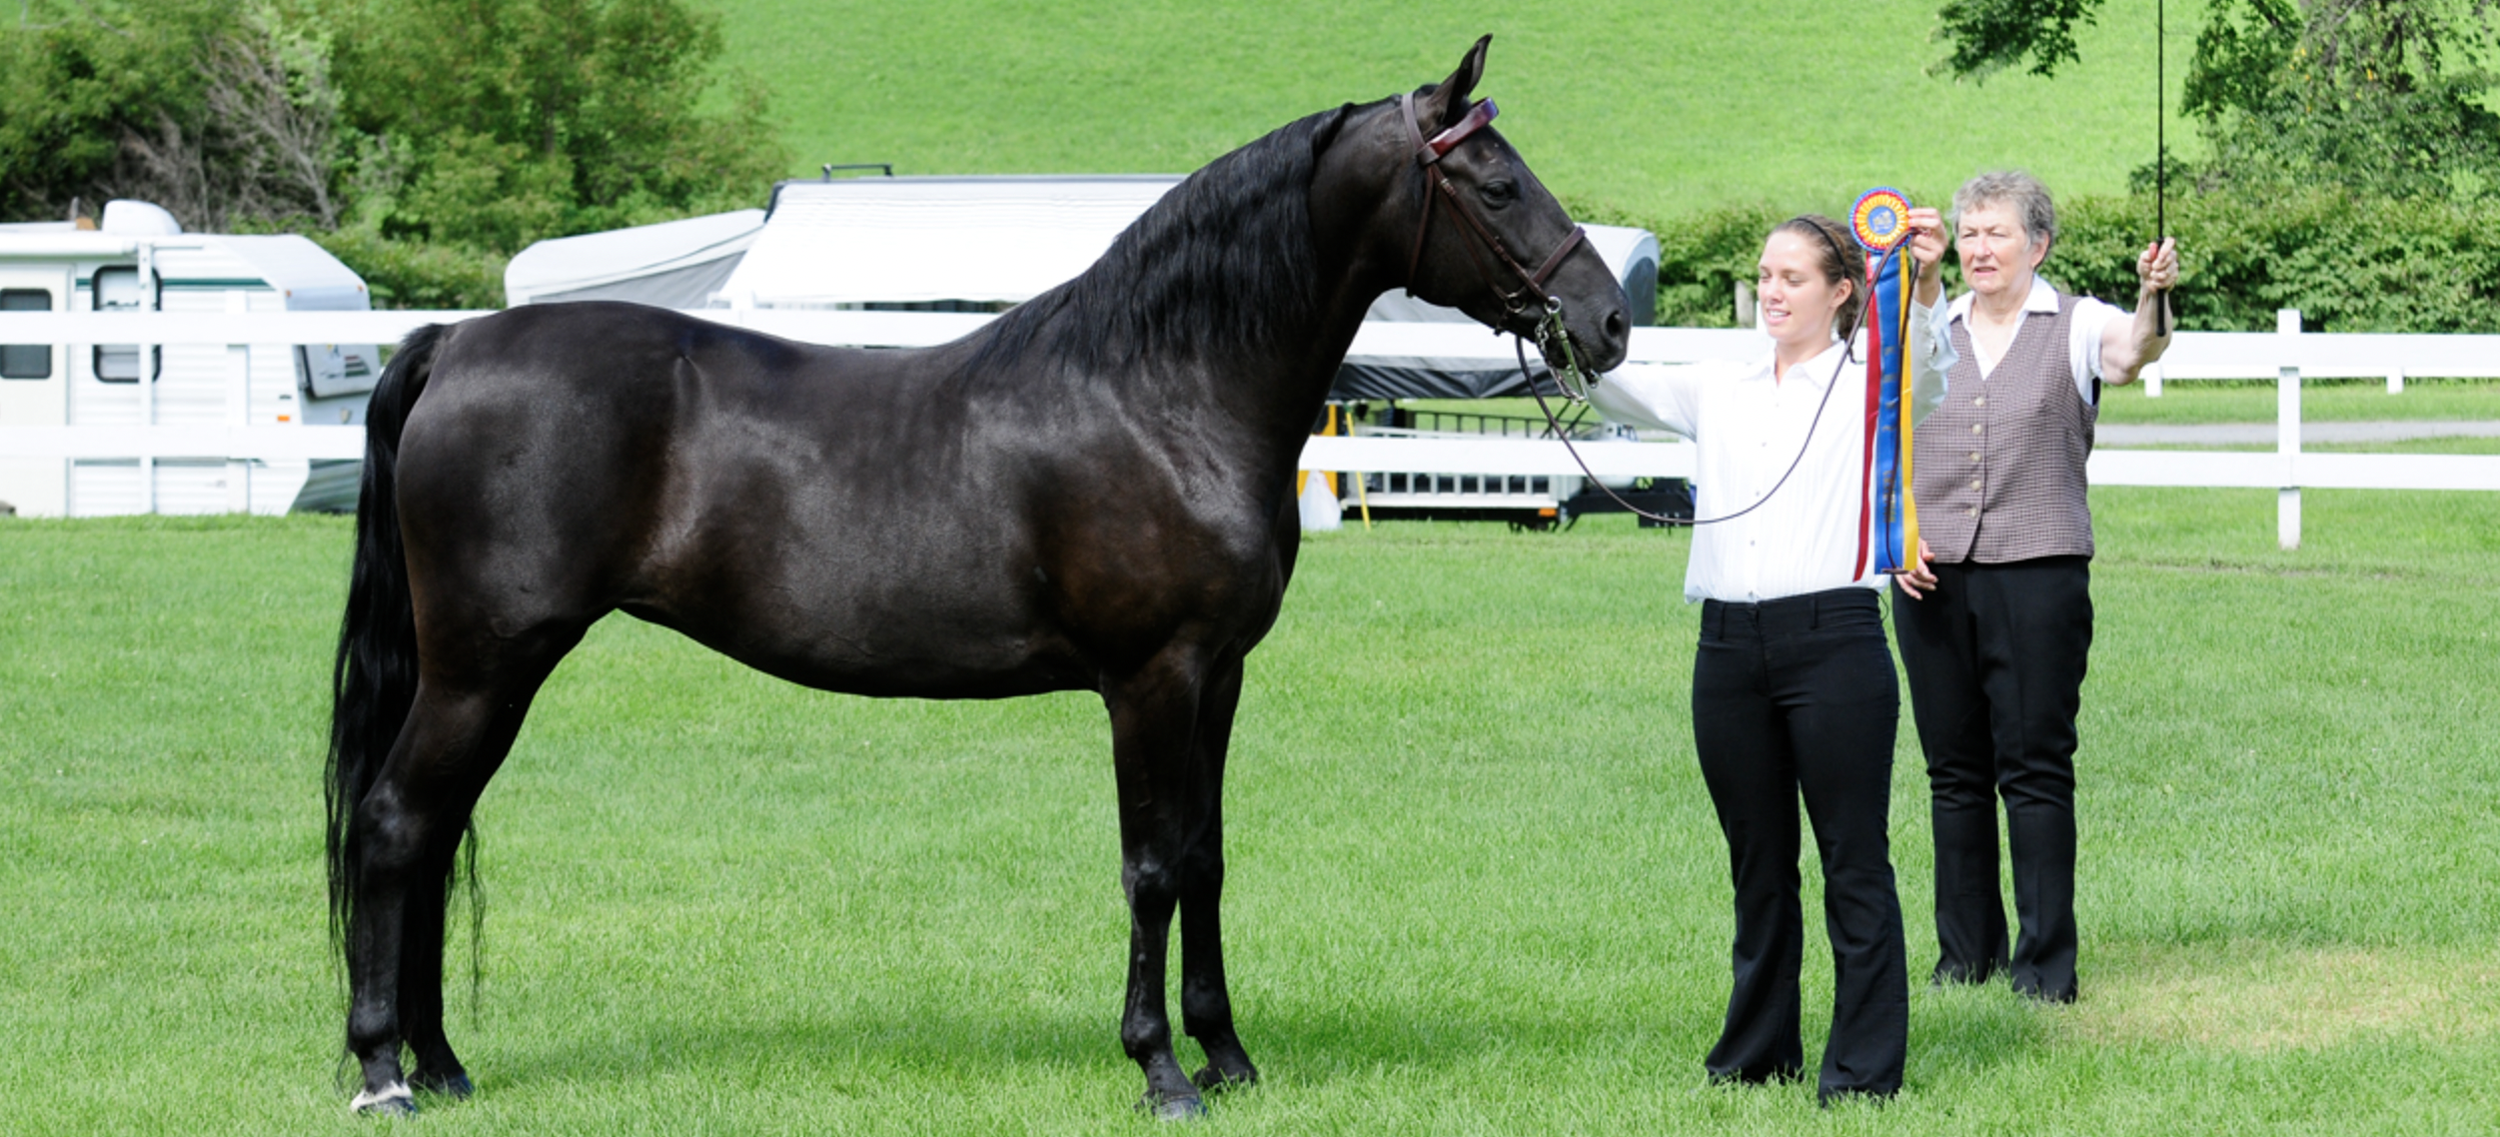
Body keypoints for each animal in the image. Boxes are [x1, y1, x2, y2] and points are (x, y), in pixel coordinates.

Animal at [326, 36, 1629, 1119]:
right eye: (1496, 186)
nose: (1606, 320)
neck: (1161, 393)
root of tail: (457, 342)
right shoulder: (1150, 681)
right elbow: (1151, 866)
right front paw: (1162, 1072)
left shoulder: (1218, 678)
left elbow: (1205, 857)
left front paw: (1229, 1056)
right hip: (485, 666)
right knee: (395, 826)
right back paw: (386, 1072)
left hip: (489, 671)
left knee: (432, 835)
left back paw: (441, 1065)